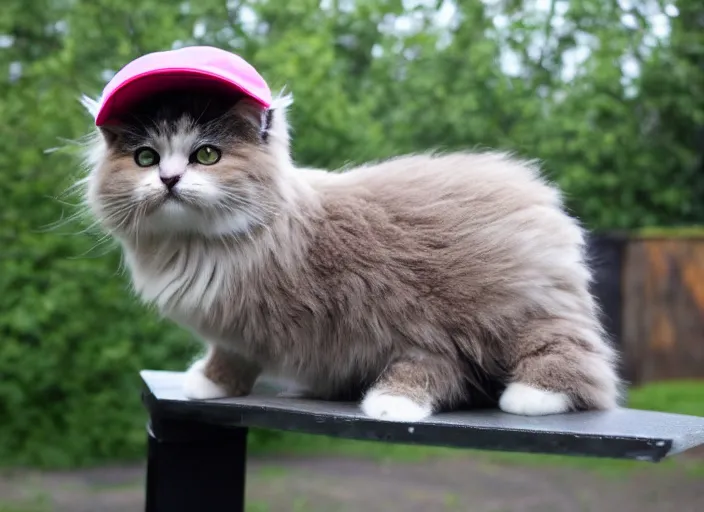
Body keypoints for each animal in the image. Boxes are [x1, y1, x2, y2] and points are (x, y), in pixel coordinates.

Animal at [80, 88, 620, 422]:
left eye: (207, 155)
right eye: (145, 158)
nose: (169, 179)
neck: (196, 243)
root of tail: (535, 192)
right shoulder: (238, 334)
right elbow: (231, 357)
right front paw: (210, 383)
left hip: (478, 313)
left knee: (552, 356)